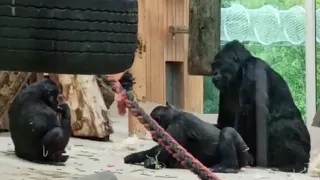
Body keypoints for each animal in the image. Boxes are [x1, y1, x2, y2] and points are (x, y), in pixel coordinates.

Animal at [124, 103, 254, 174]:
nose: (153, 135)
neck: (173, 116)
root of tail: (249, 158)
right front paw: (134, 157)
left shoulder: (177, 125)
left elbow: (167, 150)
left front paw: (149, 161)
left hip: (243, 153)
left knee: (227, 132)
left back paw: (228, 168)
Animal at [211, 40, 312, 173]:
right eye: (213, 66)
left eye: (220, 64)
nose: (214, 73)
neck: (238, 73)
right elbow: (225, 120)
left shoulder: (252, 69)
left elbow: (255, 114)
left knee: (279, 126)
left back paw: (296, 165)